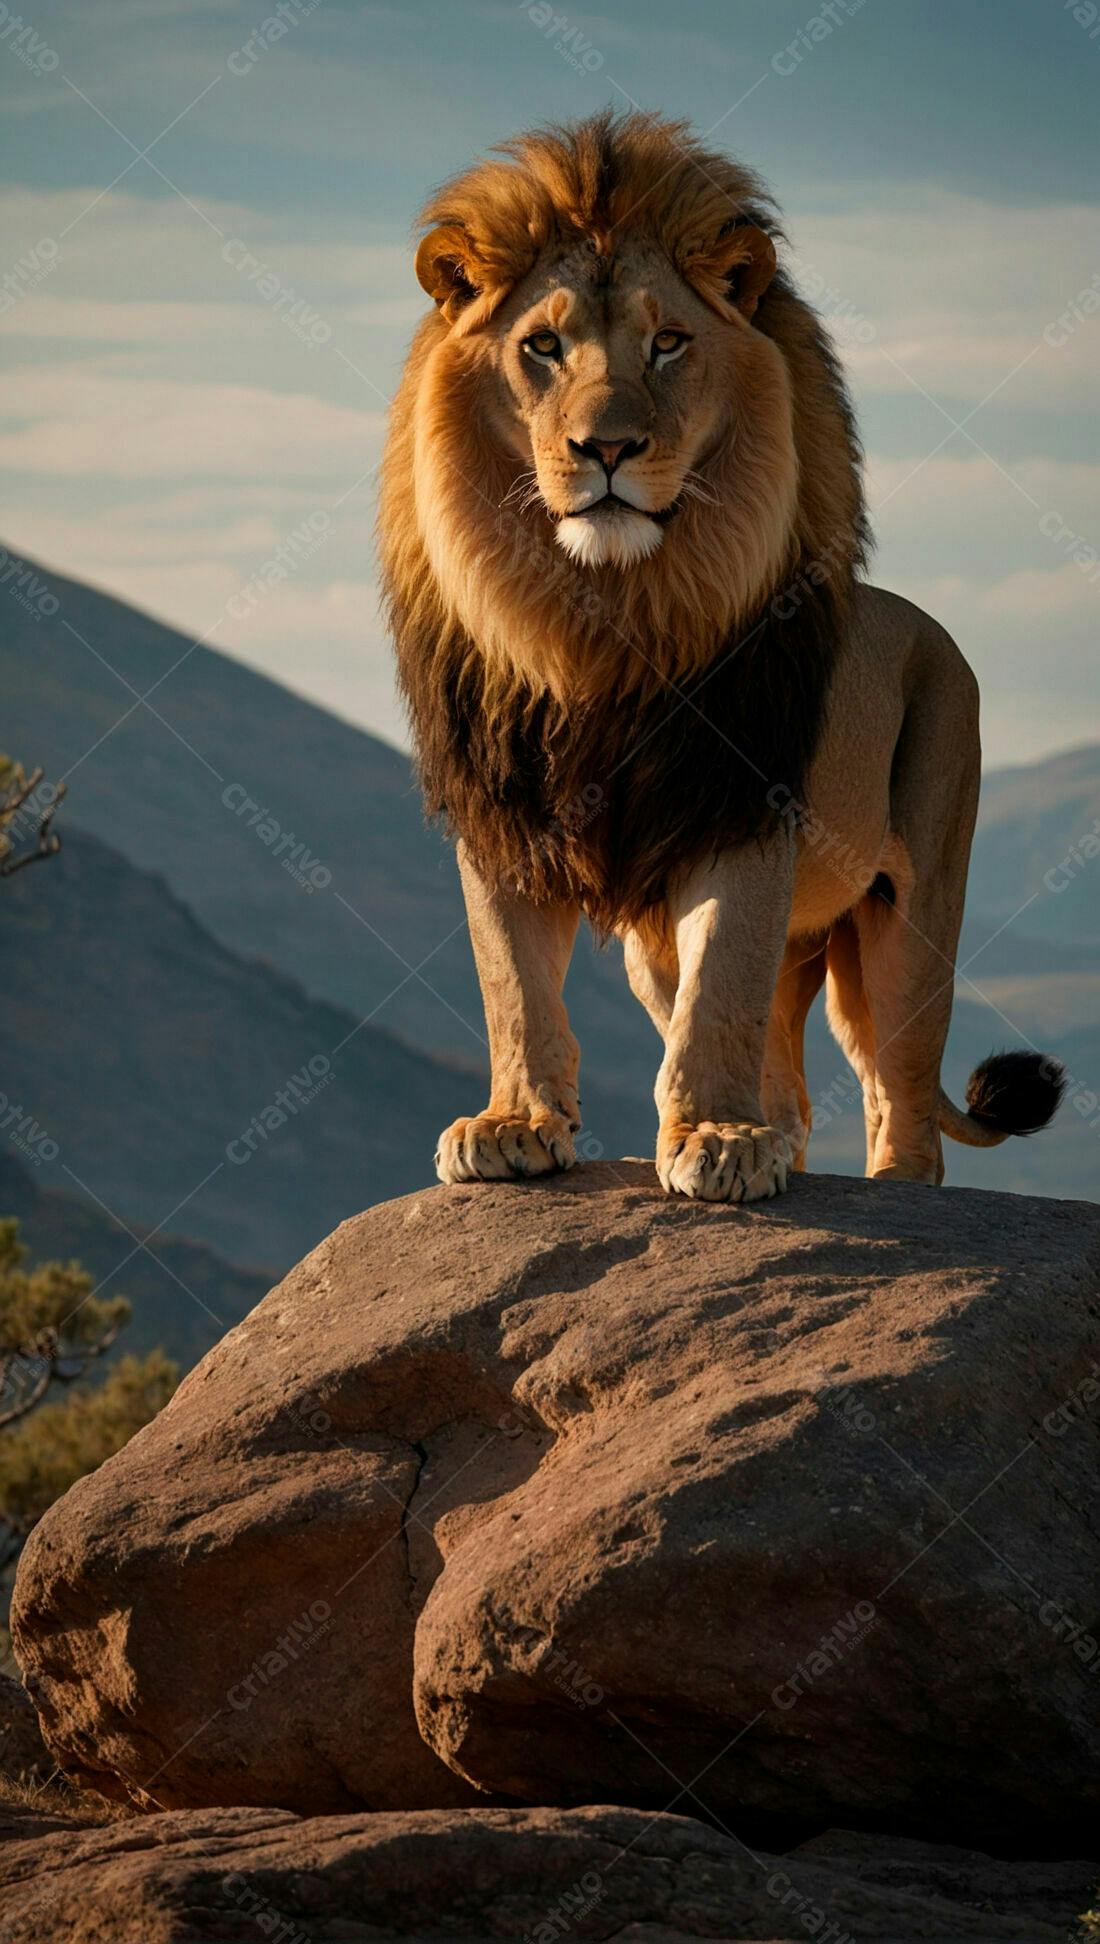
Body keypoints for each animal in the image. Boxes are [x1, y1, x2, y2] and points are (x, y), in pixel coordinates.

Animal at [379, 111, 1063, 1202]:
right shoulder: (501, 812)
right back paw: (773, 1133)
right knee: (785, 1073)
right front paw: (515, 1125)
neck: (597, 619)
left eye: (668, 343)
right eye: (541, 346)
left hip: (913, 911)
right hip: (679, 947)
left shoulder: (739, 798)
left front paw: (717, 1141)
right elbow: (513, 983)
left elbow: (719, 989)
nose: (606, 449)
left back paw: (883, 1181)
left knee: (899, 1088)